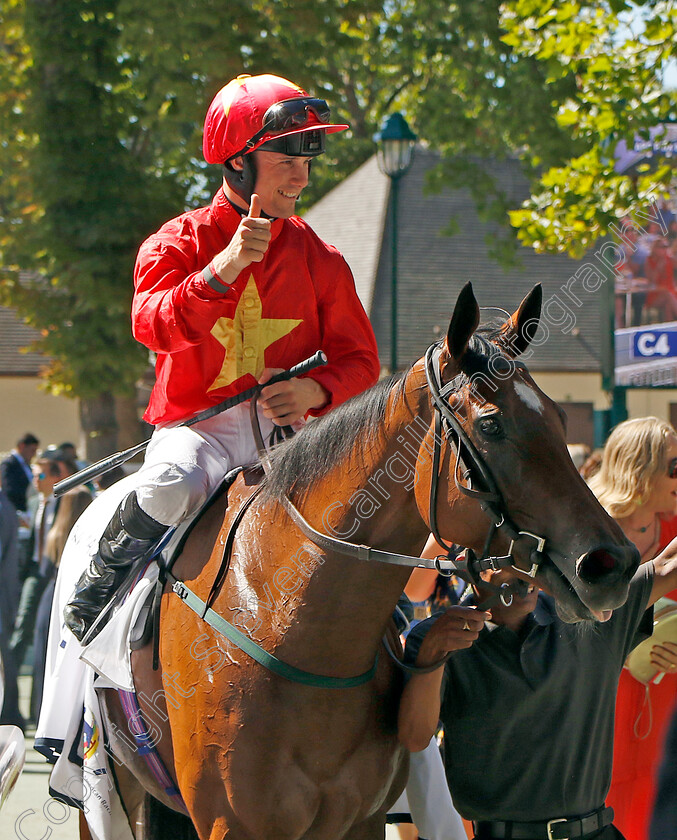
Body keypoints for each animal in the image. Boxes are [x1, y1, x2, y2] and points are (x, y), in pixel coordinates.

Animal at [96, 284, 640, 840]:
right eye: (491, 424)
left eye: (558, 417)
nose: (610, 564)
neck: (290, 625)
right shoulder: (231, 823)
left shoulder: (361, 819)